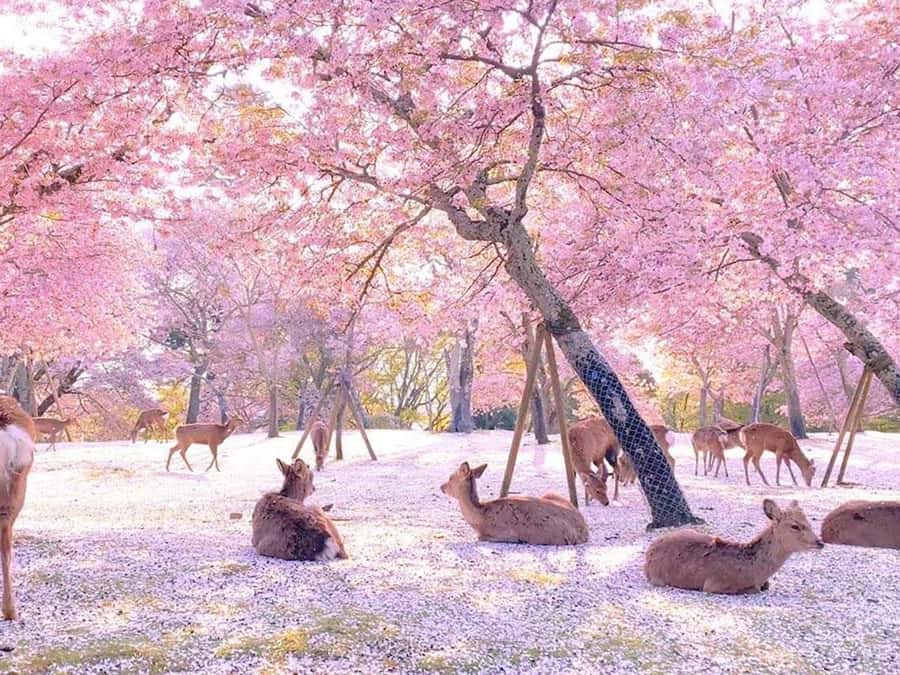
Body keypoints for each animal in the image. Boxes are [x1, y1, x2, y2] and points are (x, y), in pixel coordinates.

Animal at [440, 461, 588, 545]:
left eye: (450, 478)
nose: (441, 486)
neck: (481, 518)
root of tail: (584, 532)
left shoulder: (504, 533)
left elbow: (481, 537)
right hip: (550, 494)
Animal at [645, 499, 823, 594]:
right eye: (795, 526)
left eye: (809, 522)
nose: (819, 542)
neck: (755, 571)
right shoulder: (713, 584)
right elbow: (754, 589)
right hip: (659, 578)